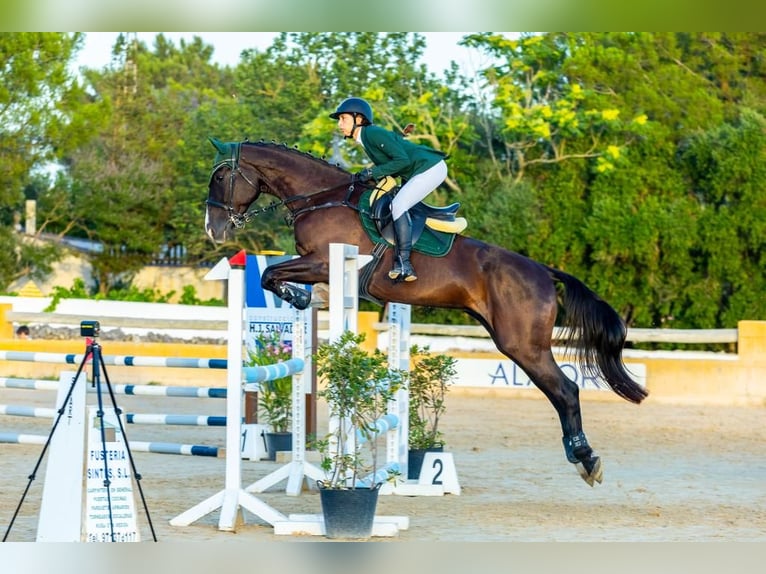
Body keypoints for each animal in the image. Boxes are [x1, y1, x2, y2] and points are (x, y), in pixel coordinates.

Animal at [204, 137, 648, 488]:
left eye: (221, 177)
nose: (214, 229)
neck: (321, 197)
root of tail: (543, 270)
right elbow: (279, 278)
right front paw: (299, 299)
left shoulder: (324, 262)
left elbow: (272, 273)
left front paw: (293, 295)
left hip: (523, 345)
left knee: (566, 390)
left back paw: (586, 460)